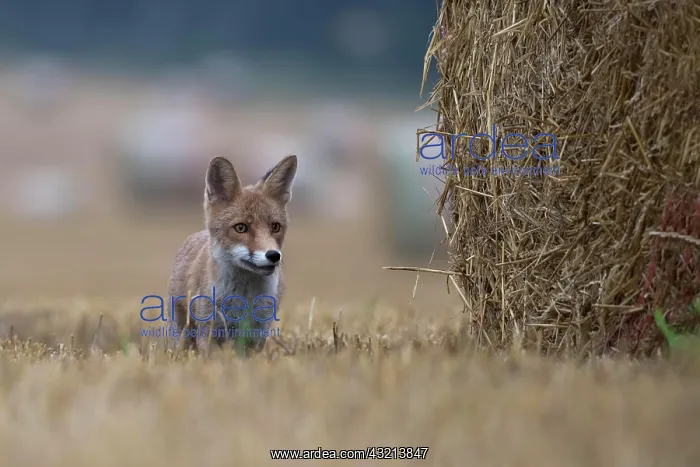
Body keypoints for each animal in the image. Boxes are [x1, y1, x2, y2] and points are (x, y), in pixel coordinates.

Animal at [167, 154, 297, 354]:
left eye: (275, 227)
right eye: (241, 228)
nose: (274, 255)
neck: (242, 298)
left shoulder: (257, 334)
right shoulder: (209, 331)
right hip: (182, 329)